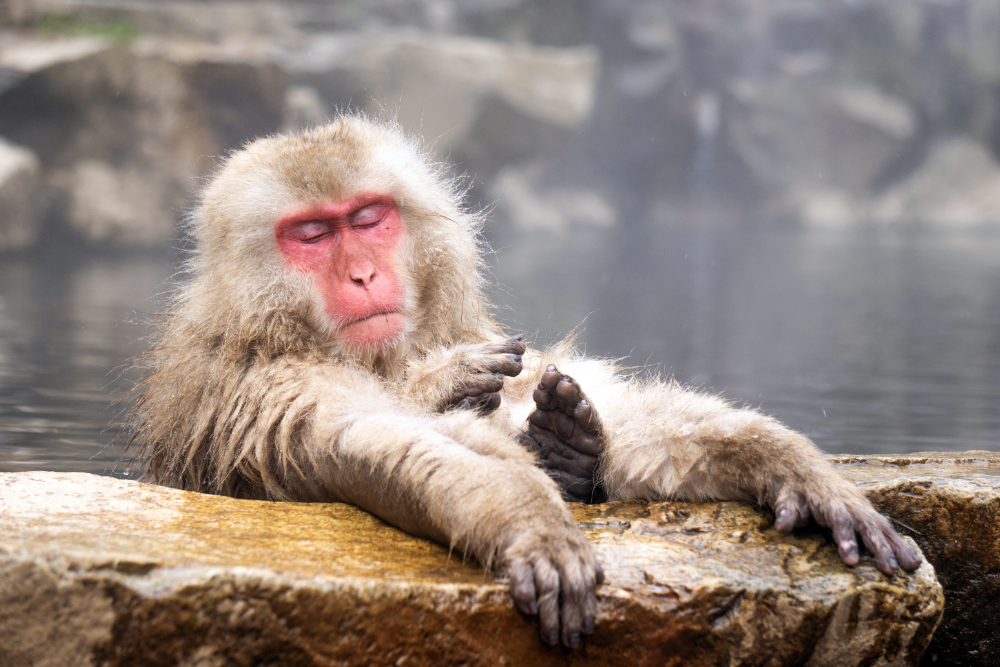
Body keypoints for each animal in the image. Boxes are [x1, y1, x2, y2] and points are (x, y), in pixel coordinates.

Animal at [131, 117, 920, 648]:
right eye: (312, 235)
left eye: (367, 218)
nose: (362, 274)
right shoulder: (266, 384)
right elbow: (380, 439)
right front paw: (528, 518)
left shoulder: (481, 336)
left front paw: (790, 466)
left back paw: (569, 446)